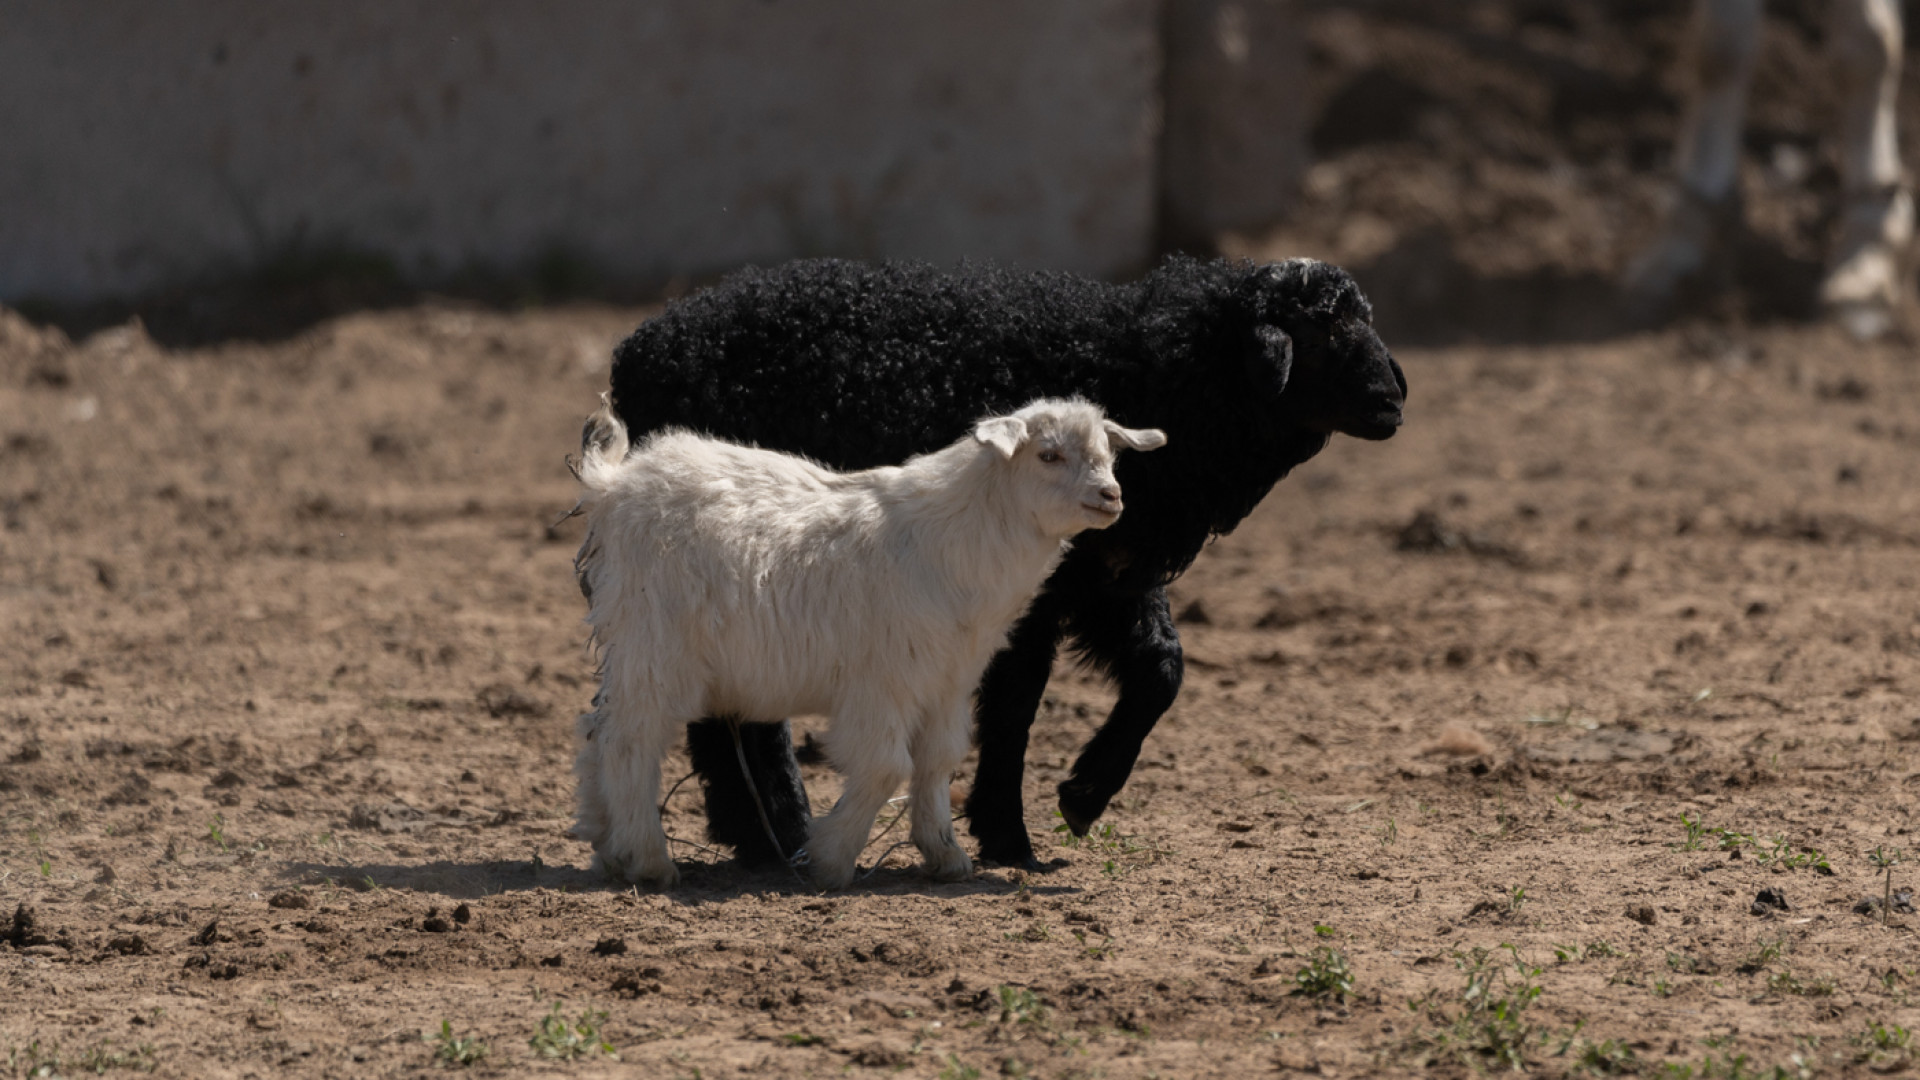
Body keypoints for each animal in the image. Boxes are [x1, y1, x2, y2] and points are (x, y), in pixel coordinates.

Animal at [606, 255, 1405, 868]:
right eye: (1322, 331)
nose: (1396, 397)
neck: (1154, 369)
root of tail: (640, 351)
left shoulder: (1108, 573)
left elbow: (1162, 670)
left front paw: (1083, 796)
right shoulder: (1032, 593)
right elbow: (1017, 707)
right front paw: (1009, 835)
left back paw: (765, 834)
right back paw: (777, 831)